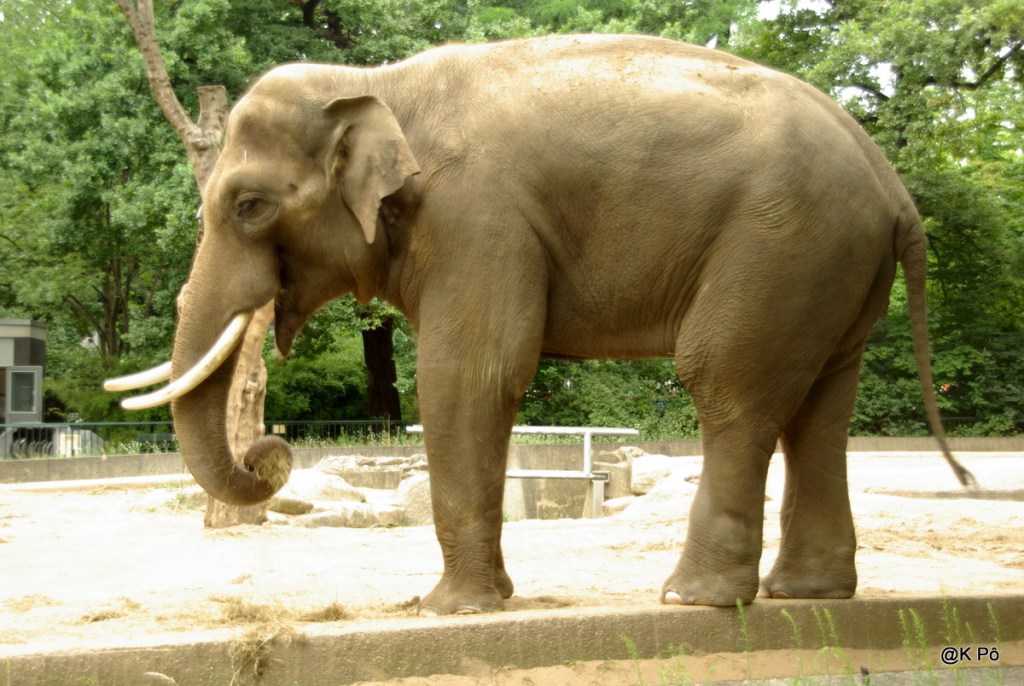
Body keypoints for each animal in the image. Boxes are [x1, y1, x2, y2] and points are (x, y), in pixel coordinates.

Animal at [106, 34, 976, 615]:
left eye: (248, 206)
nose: (271, 448)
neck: (377, 84)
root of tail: (895, 190)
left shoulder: (478, 217)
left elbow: (470, 374)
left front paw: (451, 611)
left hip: (782, 244)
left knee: (727, 384)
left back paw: (692, 599)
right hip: (833, 266)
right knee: (821, 411)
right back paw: (805, 593)